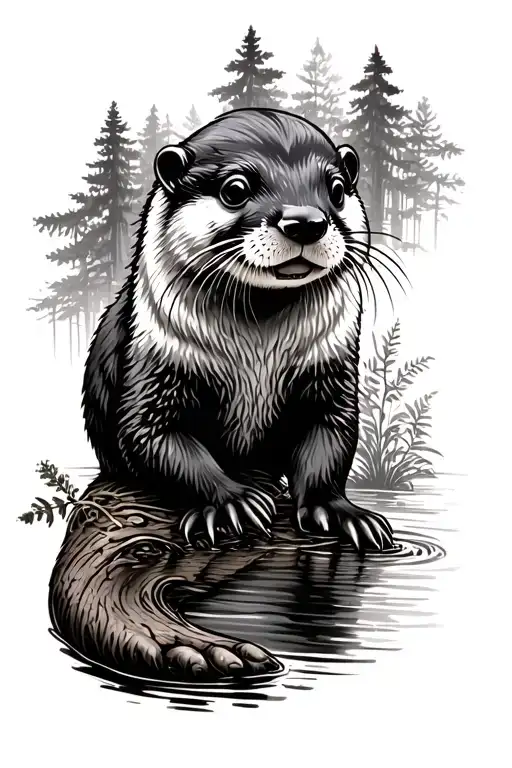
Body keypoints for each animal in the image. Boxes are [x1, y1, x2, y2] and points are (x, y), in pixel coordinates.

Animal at [83, 108, 393, 552]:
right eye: (235, 189)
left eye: (336, 189)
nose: (306, 222)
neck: (256, 356)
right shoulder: (154, 361)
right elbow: (155, 437)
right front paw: (233, 503)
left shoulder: (329, 366)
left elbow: (330, 436)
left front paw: (338, 511)